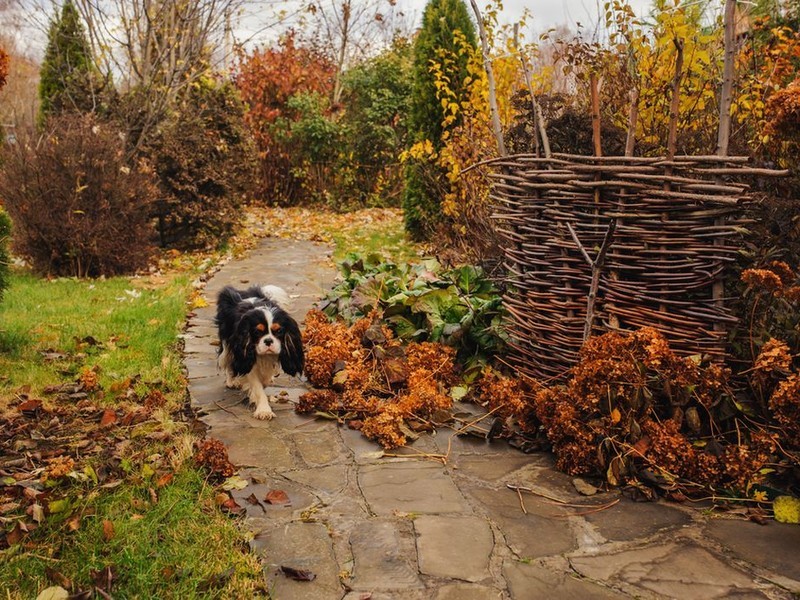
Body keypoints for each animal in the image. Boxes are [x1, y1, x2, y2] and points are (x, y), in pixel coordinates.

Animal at [214, 284, 304, 420]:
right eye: (257, 332)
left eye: (279, 331)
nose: (268, 341)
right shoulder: (247, 358)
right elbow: (257, 387)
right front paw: (264, 410)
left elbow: (264, 380)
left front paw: (265, 381)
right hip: (227, 344)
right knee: (227, 360)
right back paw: (231, 381)